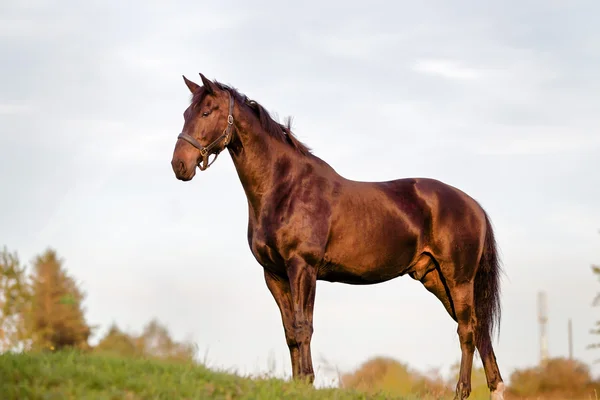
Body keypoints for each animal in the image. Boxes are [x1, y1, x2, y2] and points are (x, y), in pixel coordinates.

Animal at [170, 73, 506, 398]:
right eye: (185, 113)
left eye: (207, 111)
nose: (179, 165)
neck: (285, 188)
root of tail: (474, 206)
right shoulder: (274, 274)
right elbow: (290, 331)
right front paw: (297, 384)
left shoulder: (302, 267)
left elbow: (304, 327)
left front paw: (307, 383)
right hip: (436, 279)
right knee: (479, 330)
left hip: (458, 279)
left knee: (467, 332)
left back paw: (461, 391)